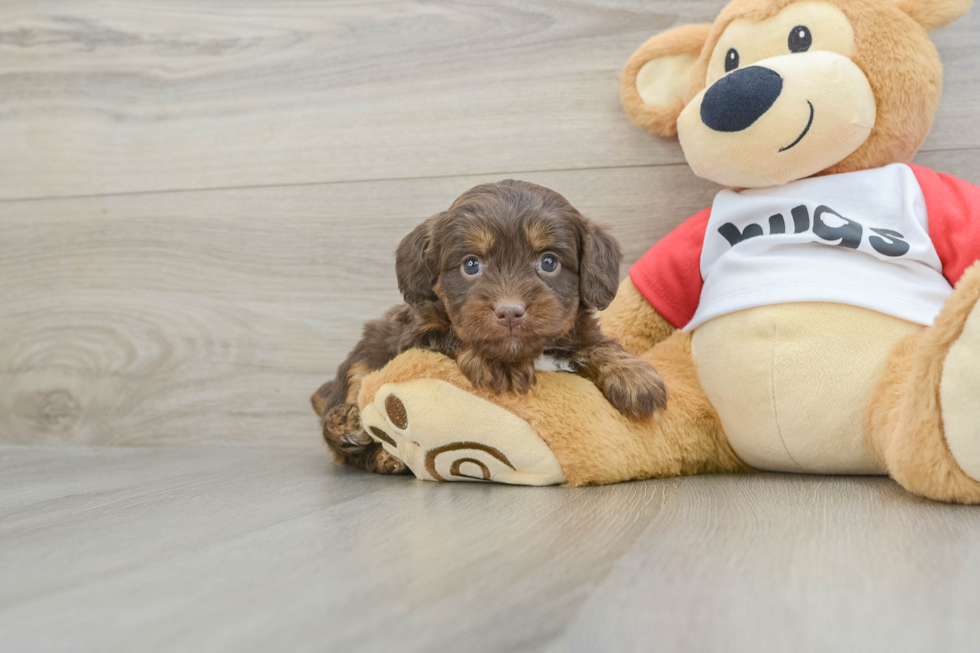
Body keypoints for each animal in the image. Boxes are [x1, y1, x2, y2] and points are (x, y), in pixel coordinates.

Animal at [314, 180, 668, 474]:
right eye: (471, 265)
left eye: (549, 262)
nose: (509, 312)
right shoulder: (417, 334)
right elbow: (456, 336)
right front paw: (500, 363)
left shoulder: (578, 334)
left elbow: (597, 344)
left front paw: (633, 374)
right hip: (362, 360)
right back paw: (352, 432)